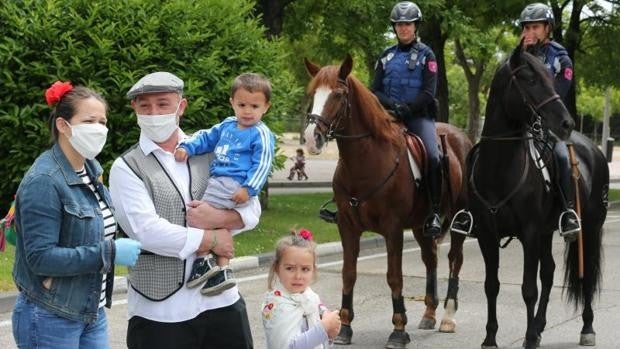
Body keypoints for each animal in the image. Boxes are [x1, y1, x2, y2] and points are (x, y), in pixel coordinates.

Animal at [302, 53, 472, 346]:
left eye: (338, 95)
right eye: (313, 94)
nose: (313, 139)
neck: (366, 162)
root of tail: (462, 136)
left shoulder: (392, 229)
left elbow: (394, 277)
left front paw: (399, 330)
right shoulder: (347, 227)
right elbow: (348, 274)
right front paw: (344, 327)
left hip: (458, 220)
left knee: (454, 259)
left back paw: (448, 316)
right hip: (421, 226)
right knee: (431, 258)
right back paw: (429, 313)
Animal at [470, 41, 604, 348]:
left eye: (552, 79)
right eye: (530, 79)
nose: (566, 123)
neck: (499, 170)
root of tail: (594, 148)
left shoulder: (529, 233)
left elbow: (528, 289)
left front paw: (529, 337)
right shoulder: (487, 235)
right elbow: (491, 286)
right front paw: (490, 337)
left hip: (589, 228)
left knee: (586, 274)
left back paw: (587, 327)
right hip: (545, 232)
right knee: (550, 272)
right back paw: (541, 324)